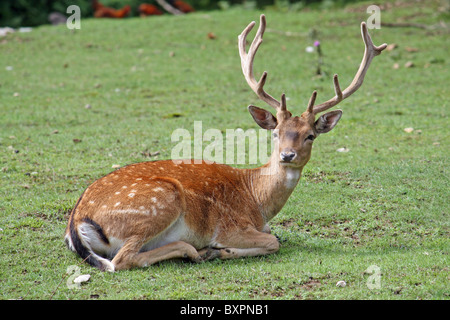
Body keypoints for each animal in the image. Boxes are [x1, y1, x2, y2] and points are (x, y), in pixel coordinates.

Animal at [64, 14, 386, 270]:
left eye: (310, 135)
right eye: (275, 132)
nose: (287, 155)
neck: (258, 201)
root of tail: (77, 222)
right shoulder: (231, 226)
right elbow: (273, 241)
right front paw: (223, 250)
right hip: (159, 201)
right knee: (123, 259)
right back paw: (196, 250)